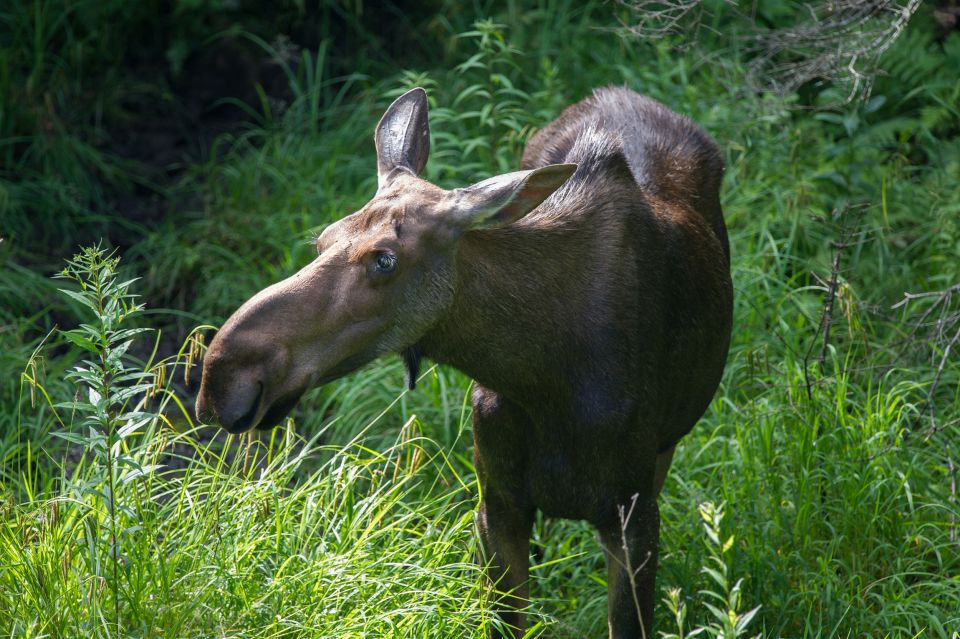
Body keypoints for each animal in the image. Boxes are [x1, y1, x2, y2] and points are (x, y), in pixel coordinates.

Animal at [197, 86, 736, 639]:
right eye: (322, 239)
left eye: (384, 258)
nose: (223, 375)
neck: (544, 377)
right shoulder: (496, 505)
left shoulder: (632, 518)